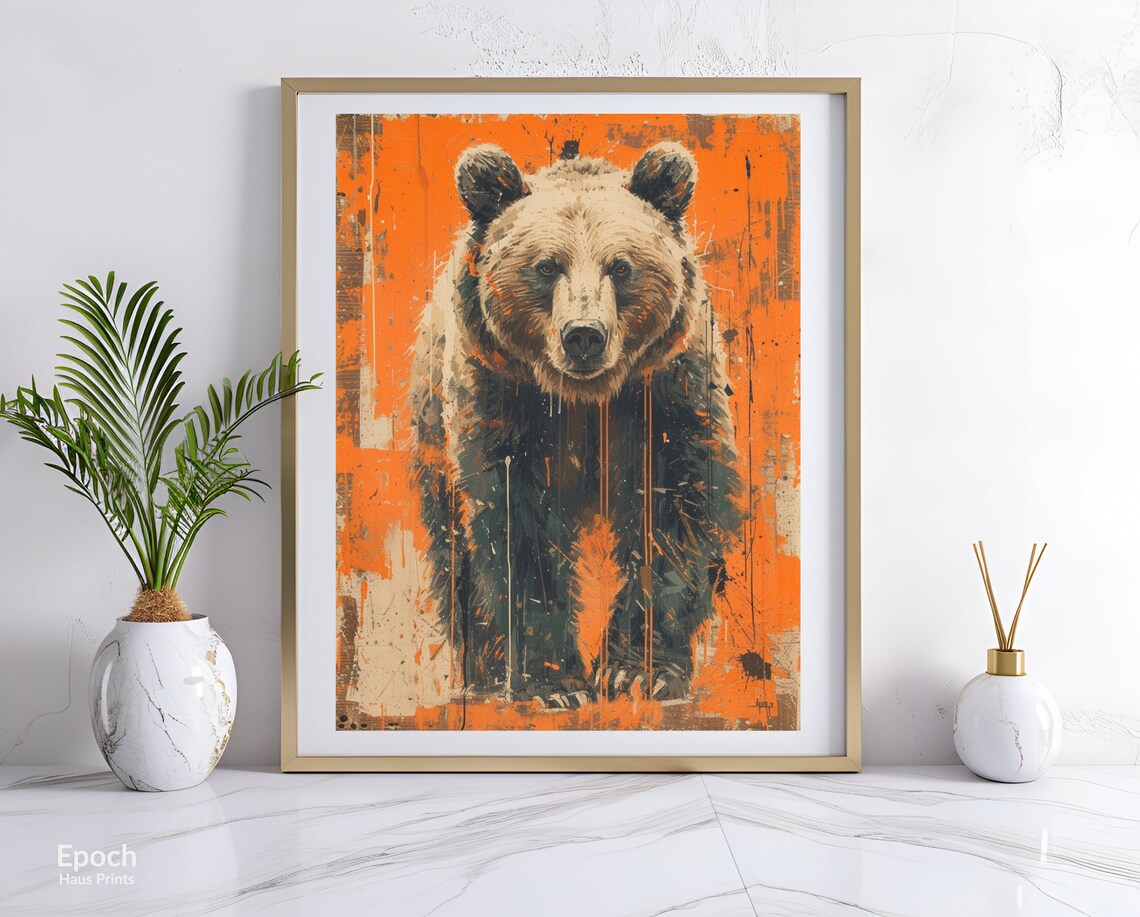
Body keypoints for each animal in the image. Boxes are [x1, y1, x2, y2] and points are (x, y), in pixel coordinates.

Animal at [411, 140, 741, 710]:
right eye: (546, 266)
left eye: (621, 267)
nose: (583, 334)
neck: (586, 397)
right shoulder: (502, 396)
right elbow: (513, 529)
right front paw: (553, 681)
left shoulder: (669, 389)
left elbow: (677, 509)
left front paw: (640, 672)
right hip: (432, 430)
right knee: (454, 556)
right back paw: (482, 672)